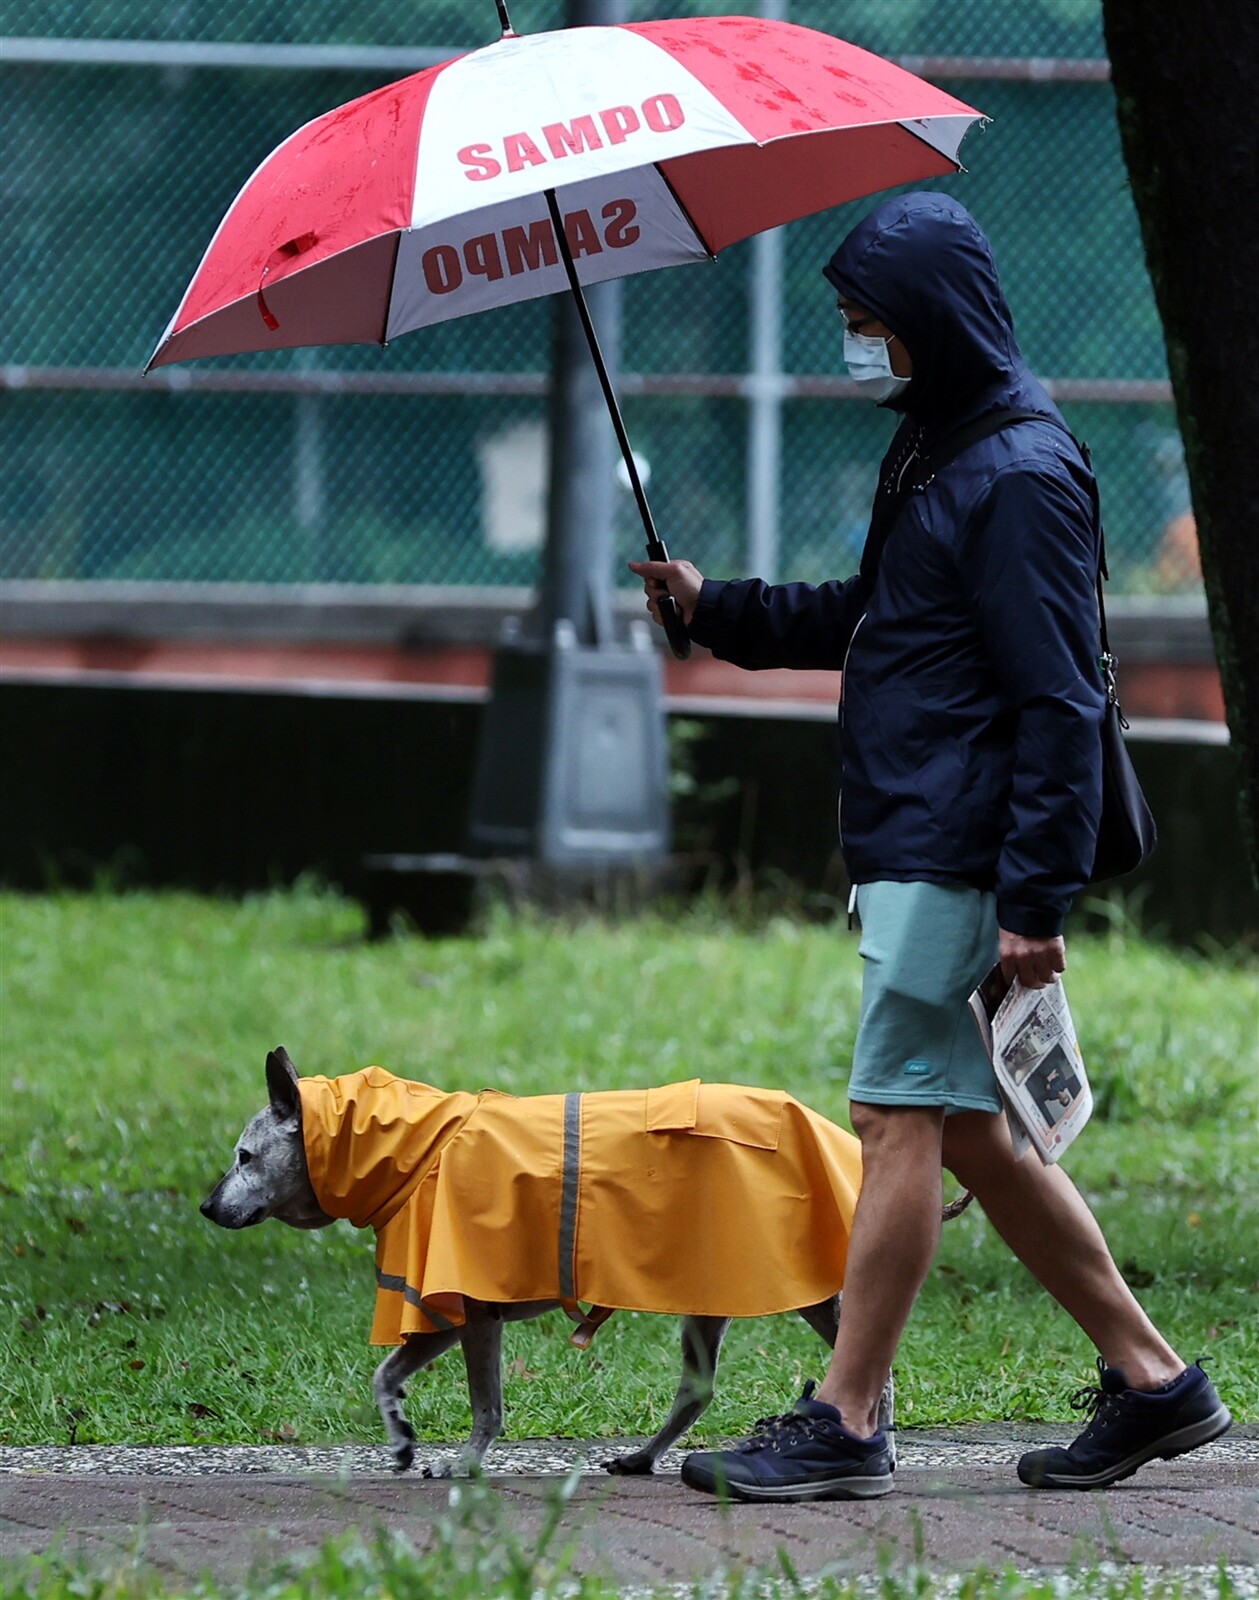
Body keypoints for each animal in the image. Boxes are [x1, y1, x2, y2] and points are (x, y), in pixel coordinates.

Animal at [201, 1049, 959, 1472]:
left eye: (244, 1156)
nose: (207, 1207)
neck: (417, 1149)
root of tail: (837, 1141)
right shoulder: (448, 1316)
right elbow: (385, 1376)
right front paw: (402, 1437)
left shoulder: (473, 1317)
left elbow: (485, 1406)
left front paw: (463, 1465)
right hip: (706, 1296)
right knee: (696, 1392)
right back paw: (644, 1458)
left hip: (813, 1292)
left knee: (878, 1369)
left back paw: (878, 1446)